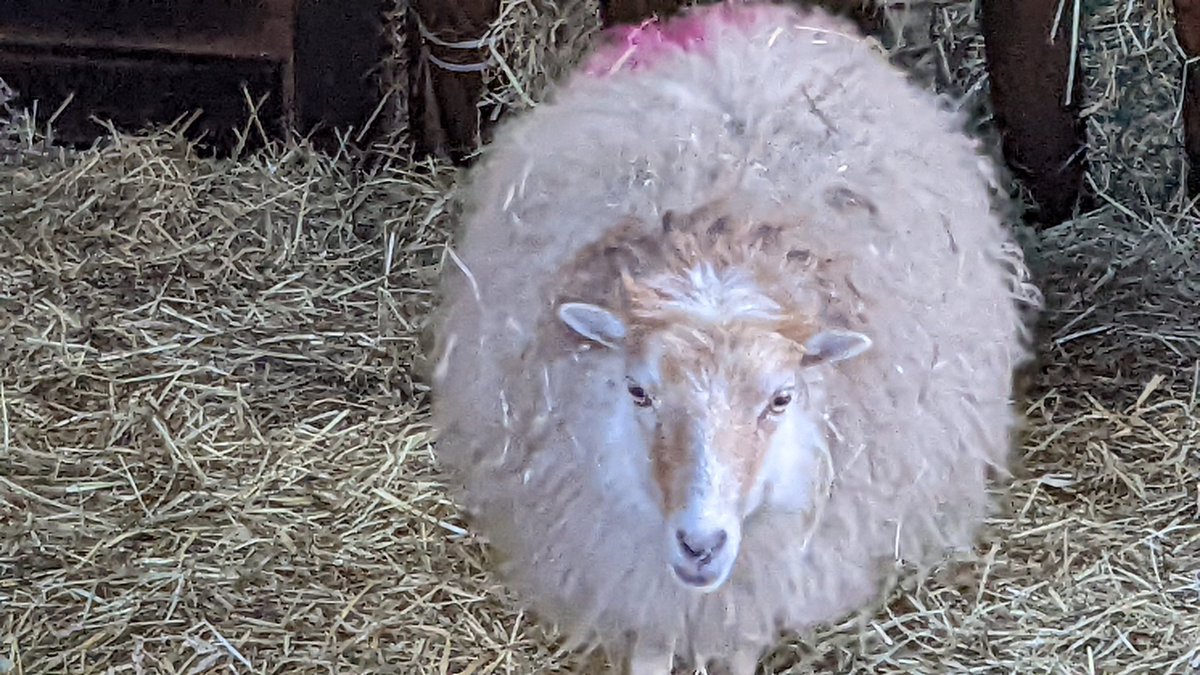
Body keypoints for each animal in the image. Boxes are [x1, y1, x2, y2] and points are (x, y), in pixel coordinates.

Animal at [426, 1, 1042, 673]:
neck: (716, 250)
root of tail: (751, 20)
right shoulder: (641, 579)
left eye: (781, 399)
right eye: (638, 391)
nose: (702, 544)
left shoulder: (752, 585)